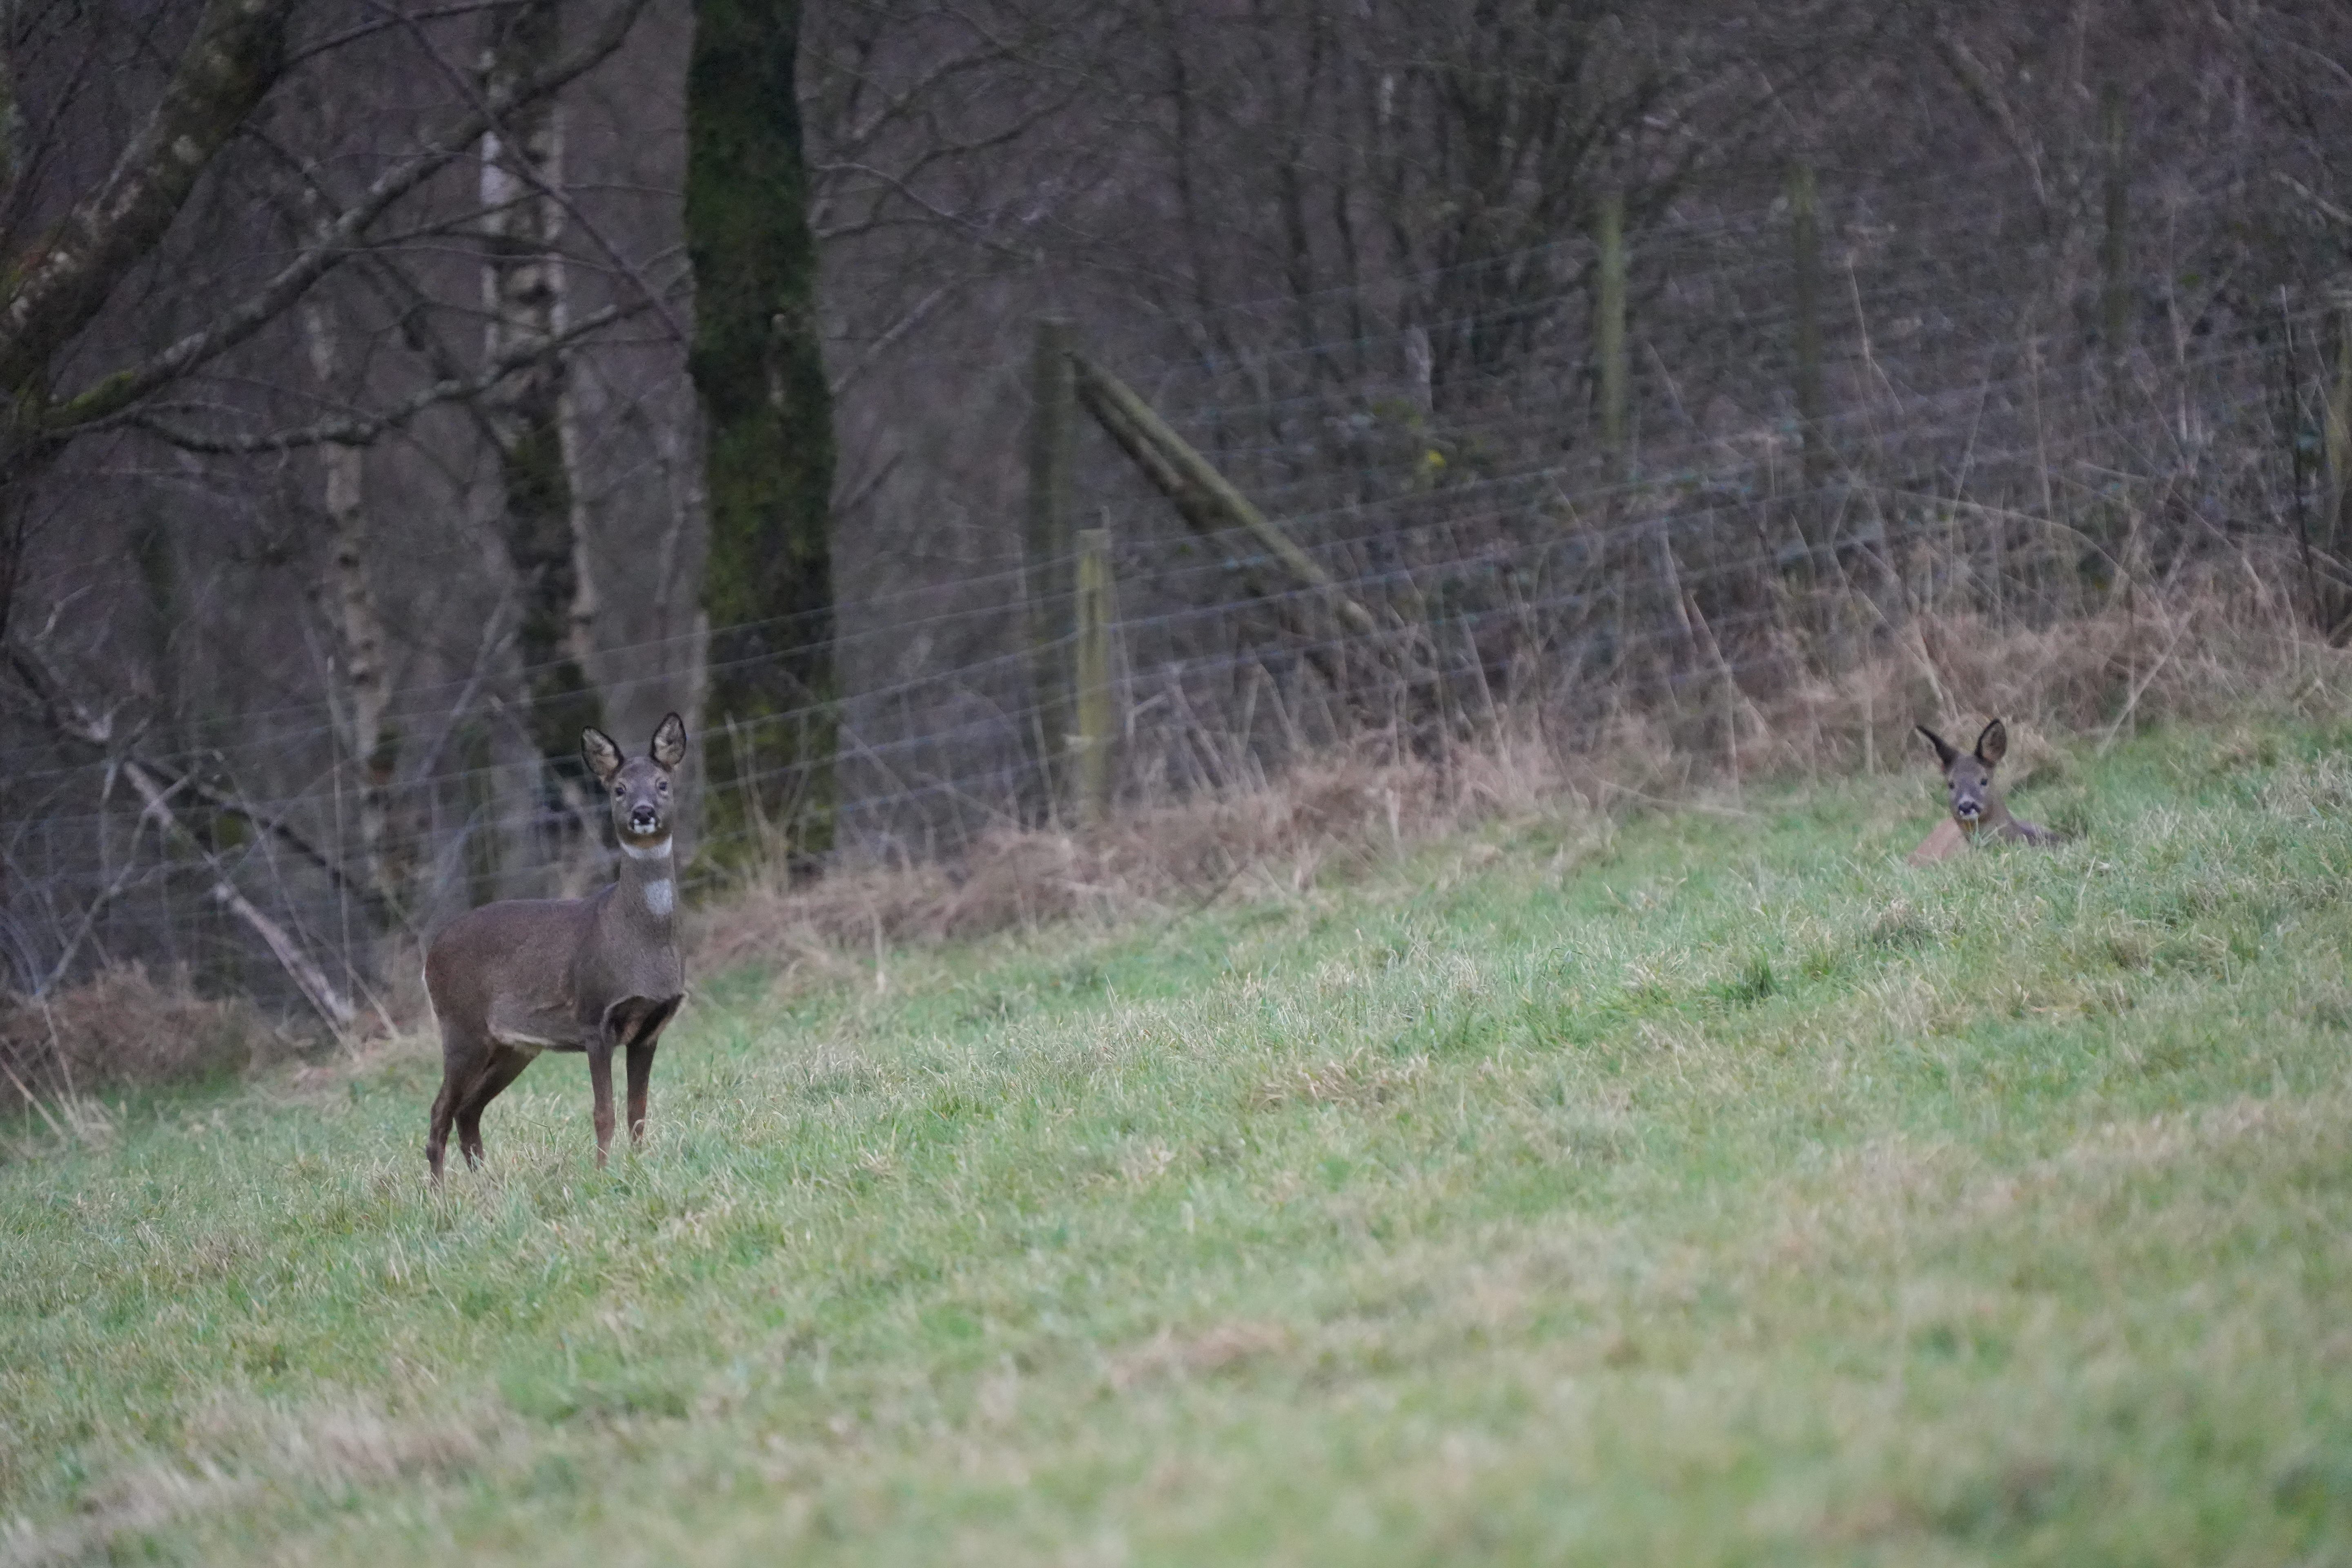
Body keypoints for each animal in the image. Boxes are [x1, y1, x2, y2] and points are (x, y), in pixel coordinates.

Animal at [424, 713, 688, 1180]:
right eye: (619, 788)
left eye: (662, 784)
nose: (643, 813)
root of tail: (428, 955)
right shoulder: (595, 1018)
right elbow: (604, 1112)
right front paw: (603, 1174)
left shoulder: (649, 1029)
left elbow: (638, 1110)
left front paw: (639, 1166)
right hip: (462, 1027)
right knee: (441, 1113)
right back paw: (440, 1194)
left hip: (512, 1046)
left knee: (467, 1111)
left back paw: (485, 1186)